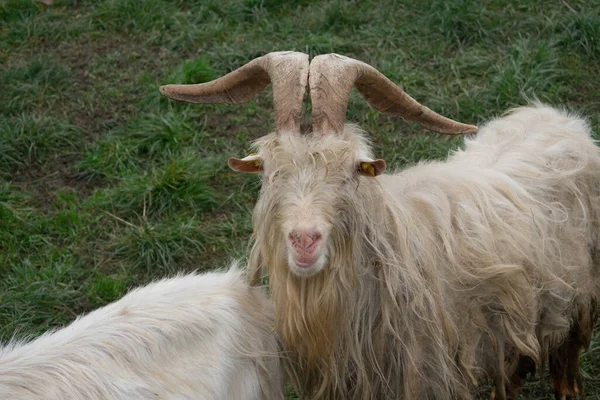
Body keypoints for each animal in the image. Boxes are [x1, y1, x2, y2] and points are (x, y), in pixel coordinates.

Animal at [161, 51, 600, 398]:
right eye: (267, 170)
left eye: (353, 170)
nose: (304, 240)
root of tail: (558, 118)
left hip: (576, 295)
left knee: (567, 355)